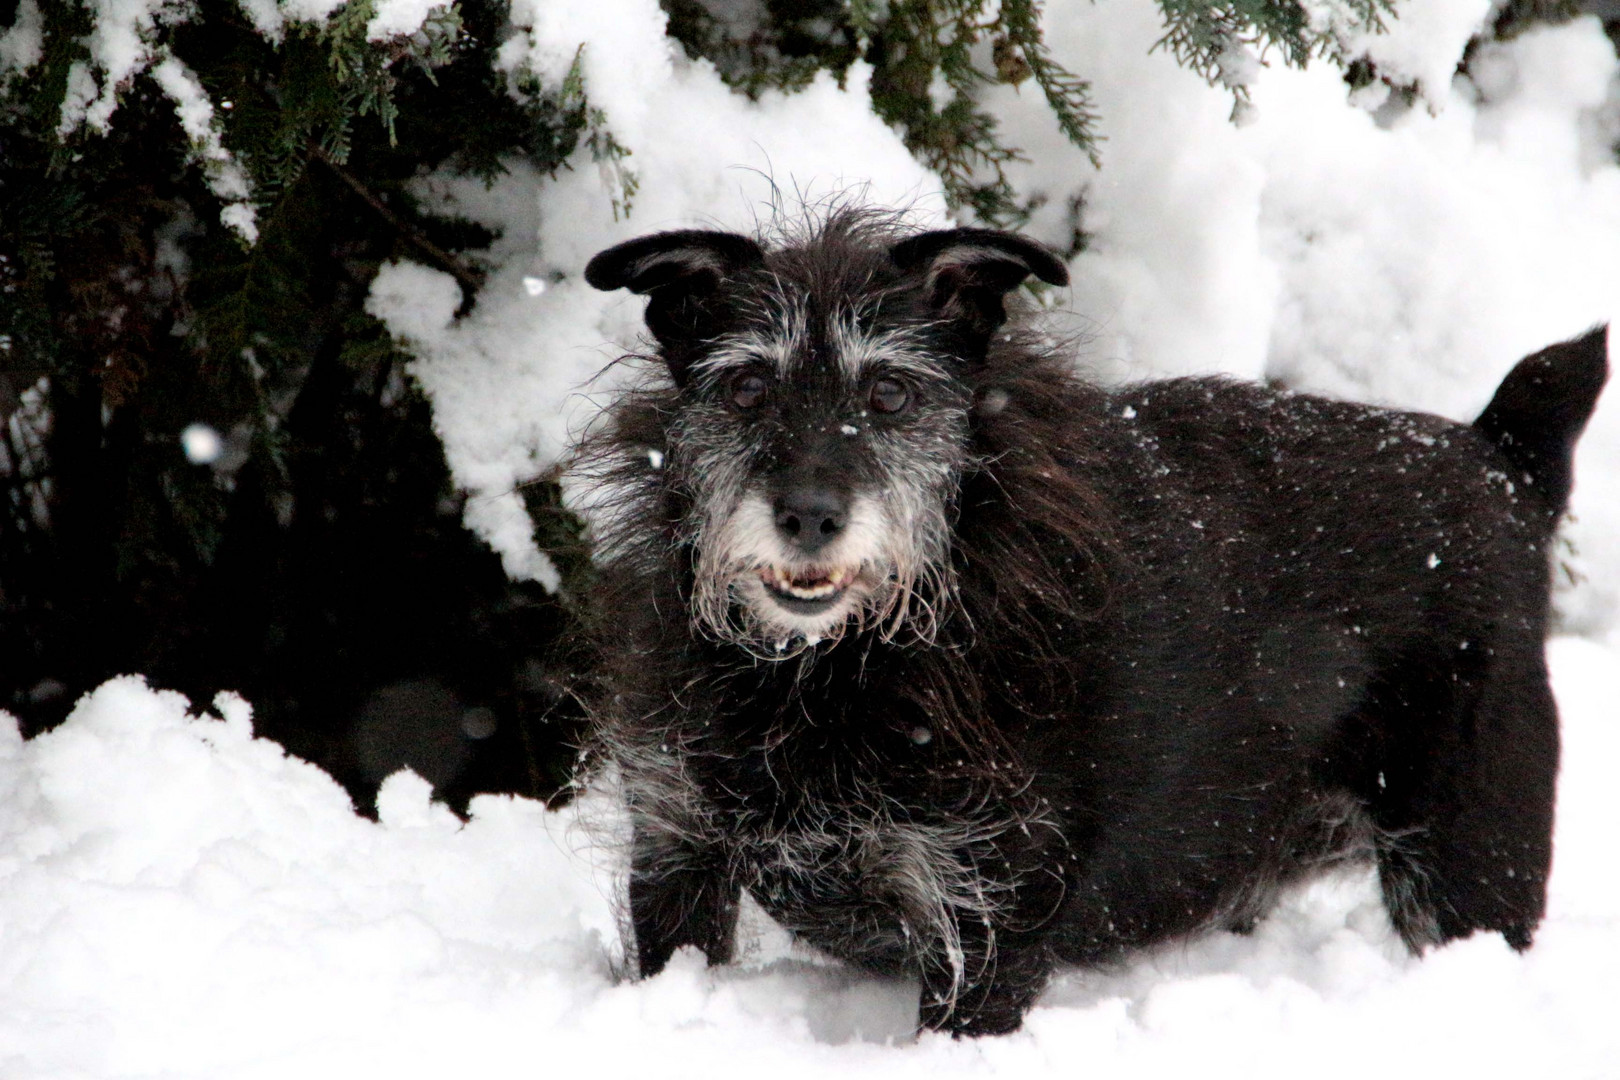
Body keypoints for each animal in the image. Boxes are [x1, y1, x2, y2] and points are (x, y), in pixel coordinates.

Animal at [576, 208, 1600, 1029]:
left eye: (891, 392)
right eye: (747, 387)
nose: (811, 515)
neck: (833, 667)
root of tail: (1500, 463)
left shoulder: (984, 917)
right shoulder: (676, 855)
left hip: (1469, 863)